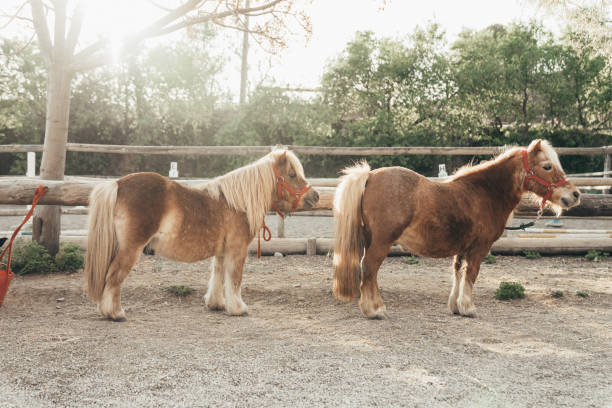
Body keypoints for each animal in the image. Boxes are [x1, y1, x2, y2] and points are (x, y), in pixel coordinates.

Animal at [85, 148, 320, 320]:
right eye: (292, 174)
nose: (315, 195)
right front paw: (238, 308)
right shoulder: (237, 250)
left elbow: (218, 275)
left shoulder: (222, 252)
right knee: (114, 276)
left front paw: (216, 304)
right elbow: (234, 279)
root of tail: (117, 184)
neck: (237, 203)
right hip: (131, 249)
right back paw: (115, 313)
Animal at [332, 139, 580, 318]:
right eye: (547, 166)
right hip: (381, 242)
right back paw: (374, 310)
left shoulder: (463, 248)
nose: (575, 194)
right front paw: (468, 308)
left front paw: (455, 307)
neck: (484, 192)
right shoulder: (480, 248)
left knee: (369, 272)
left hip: (369, 239)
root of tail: (370, 175)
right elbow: (471, 275)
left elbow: (458, 272)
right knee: (369, 269)